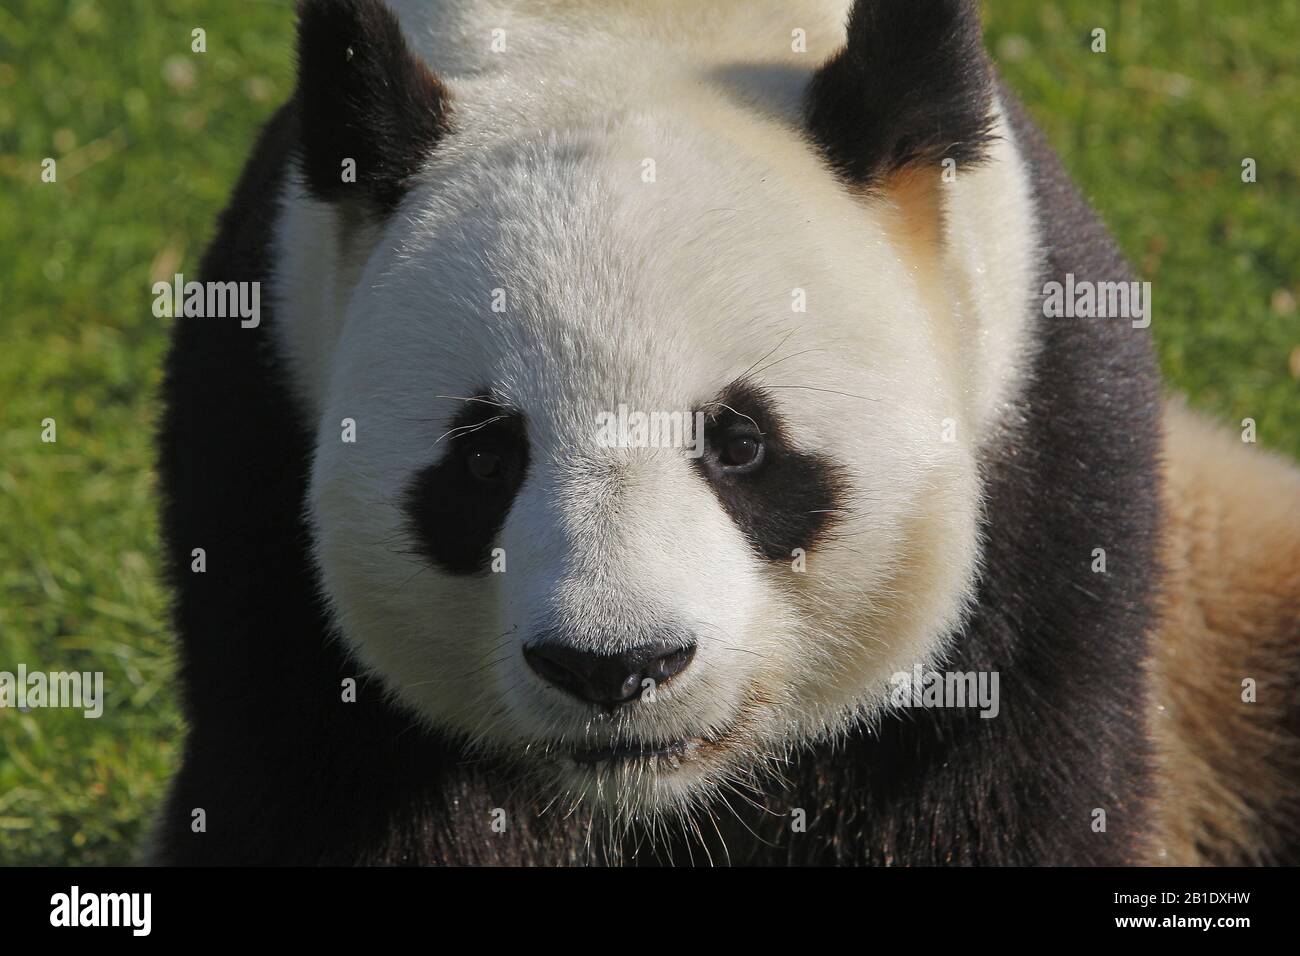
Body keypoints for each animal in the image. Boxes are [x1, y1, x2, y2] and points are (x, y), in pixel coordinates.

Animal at [152, 0, 1300, 865]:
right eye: (483, 457)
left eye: (741, 444)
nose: (613, 664)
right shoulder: (258, 430)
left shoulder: (1045, 449)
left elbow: (993, 793)